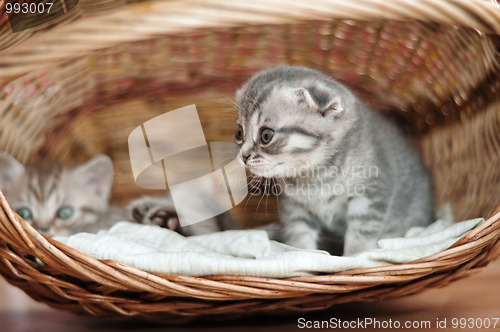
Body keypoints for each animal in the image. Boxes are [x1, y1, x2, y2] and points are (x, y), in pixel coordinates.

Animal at [234, 65, 434, 256]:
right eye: (239, 133)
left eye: (266, 135)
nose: (243, 156)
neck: (314, 176)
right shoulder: (294, 207)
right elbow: (299, 234)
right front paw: (303, 253)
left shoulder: (372, 193)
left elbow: (360, 233)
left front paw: (355, 257)